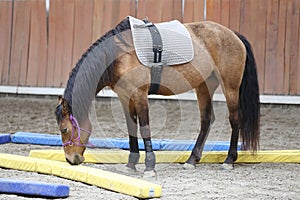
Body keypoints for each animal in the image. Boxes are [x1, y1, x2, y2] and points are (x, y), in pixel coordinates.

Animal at [54, 16, 260, 174]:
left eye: (64, 129)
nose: (71, 159)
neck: (118, 55)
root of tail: (233, 35)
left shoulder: (140, 94)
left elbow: (144, 127)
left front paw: (149, 166)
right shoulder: (125, 97)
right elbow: (131, 128)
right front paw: (131, 164)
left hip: (230, 87)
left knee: (235, 119)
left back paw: (229, 160)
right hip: (204, 86)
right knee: (206, 120)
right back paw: (192, 160)